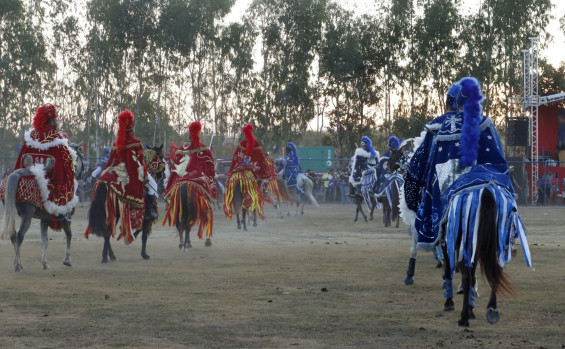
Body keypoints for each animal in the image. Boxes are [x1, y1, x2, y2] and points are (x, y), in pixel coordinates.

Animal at [0, 142, 83, 272]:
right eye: (80, 154)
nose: (83, 171)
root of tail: (14, 175)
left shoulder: (44, 220)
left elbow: (45, 240)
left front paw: (44, 263)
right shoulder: (65, 219)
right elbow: (69, 235)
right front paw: (67, 259)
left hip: (11, 211)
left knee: (13, 235)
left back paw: (18, 262)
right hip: (27, 216)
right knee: (19, 236)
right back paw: (18, 265)